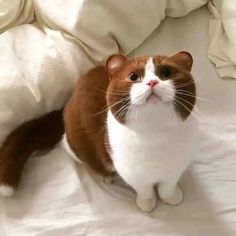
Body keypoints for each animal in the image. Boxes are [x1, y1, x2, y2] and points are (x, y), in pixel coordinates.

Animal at [0, 51, 197, 212]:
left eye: (166, 73)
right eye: (134, 76)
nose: (152, 82)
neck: (155, 132)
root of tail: (70, 98)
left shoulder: (176, 167)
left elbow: (167, 186)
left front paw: (171, 197)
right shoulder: (130, 171)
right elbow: (144, 189)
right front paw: (146, 203)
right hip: (79, 140)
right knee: (70, 147)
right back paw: (104, 175)